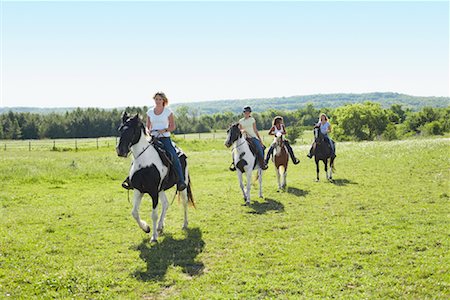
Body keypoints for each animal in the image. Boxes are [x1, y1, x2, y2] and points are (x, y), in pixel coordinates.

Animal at [115, 111, 194, 243]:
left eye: (132, 130)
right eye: (120, 130)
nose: (121, 151)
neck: (145, 163)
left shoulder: (153, 192)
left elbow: (154, 215)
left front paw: (153, 237)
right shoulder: (138, 190)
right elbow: (134, 212)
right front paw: (146, 228)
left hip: (182, 186)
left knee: (184, 202)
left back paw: (184, 224)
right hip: (161, 189)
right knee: (166, 204)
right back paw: (160, 227)